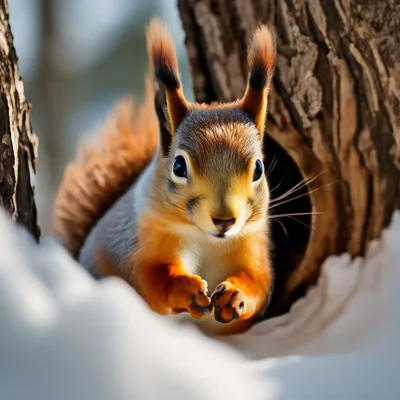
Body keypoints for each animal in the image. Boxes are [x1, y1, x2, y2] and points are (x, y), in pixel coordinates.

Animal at [54, 19, 276, 338]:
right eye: (179, 166)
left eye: (258, 168)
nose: (224, 221)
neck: (207, 239)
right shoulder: (134, 242)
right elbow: (149, 277)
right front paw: (185, 288)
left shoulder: (252, 243)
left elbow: (258, 281)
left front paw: (236, 294)